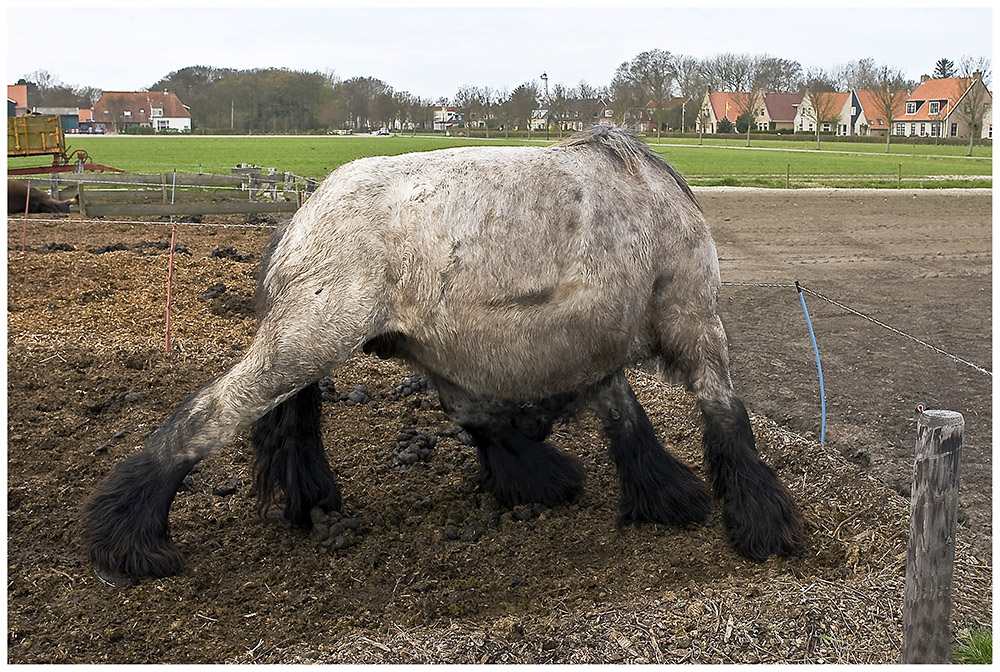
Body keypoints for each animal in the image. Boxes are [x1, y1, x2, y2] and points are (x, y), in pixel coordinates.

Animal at [80, 127, 804, 584]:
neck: (652, 197)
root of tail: (298, 222)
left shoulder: (592, 348)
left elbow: (627, 420)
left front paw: (659, 494)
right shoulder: (693, 320)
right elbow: (725, 416)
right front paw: (759, 522)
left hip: (359, 346)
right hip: (308, 342)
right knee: (209, 415)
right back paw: (128, 536)